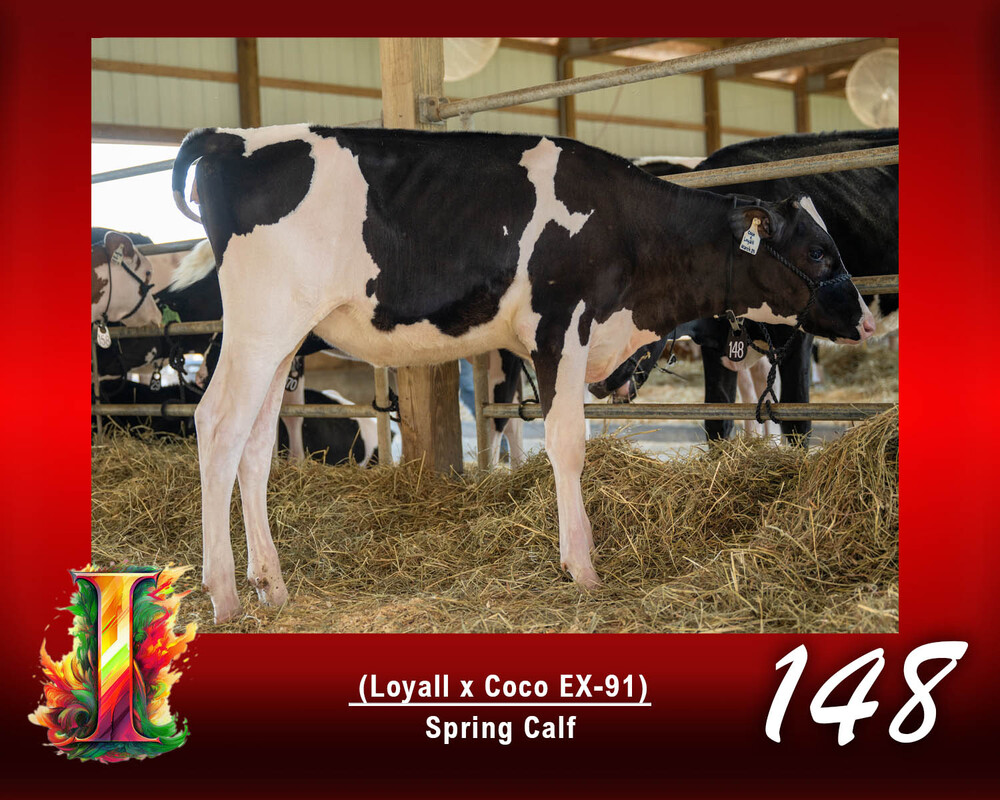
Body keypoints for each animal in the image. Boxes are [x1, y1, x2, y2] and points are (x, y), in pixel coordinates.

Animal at [171, 124, 874, 623]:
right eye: (819, 252)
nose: (867, 319)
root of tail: (228, 137)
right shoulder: (558, 325)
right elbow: (565, 443)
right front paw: (582, 567)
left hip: (284, 340)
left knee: (257, 444)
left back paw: (272, 584)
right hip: (261, 324)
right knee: (218, 425)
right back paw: (224, 593)